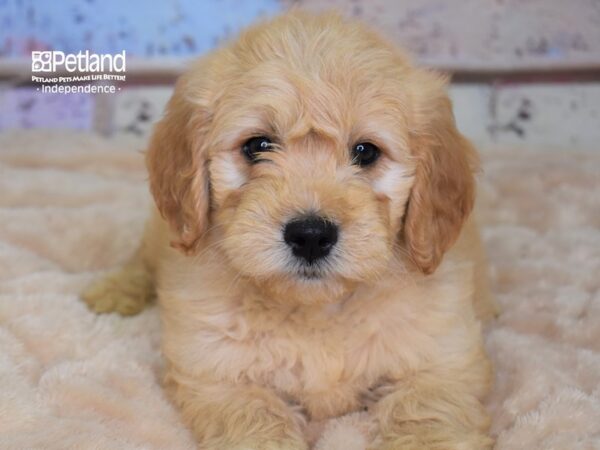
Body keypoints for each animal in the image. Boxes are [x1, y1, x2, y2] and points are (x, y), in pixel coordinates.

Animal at [83, 12, 496, 450]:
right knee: (141, 259)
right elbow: (256, 422)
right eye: (257, 145)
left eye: (365, 152)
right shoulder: (219, 373)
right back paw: (115, 290)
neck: (316, 310)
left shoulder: (440, 363)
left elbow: (428, 417)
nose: (310, 235)